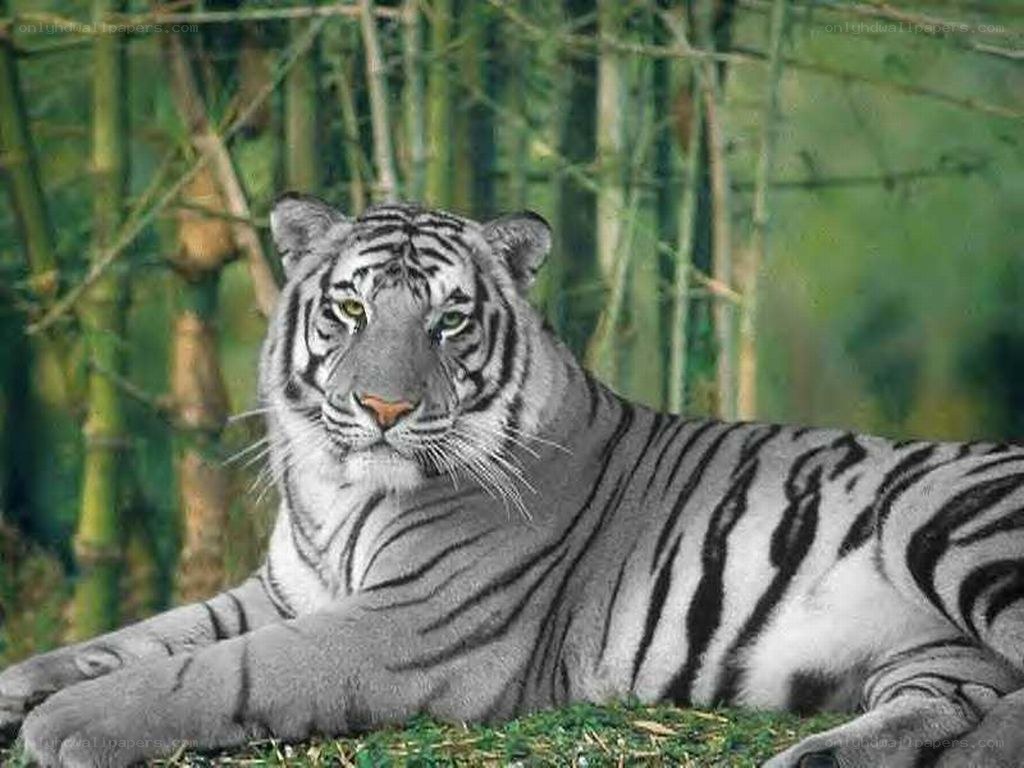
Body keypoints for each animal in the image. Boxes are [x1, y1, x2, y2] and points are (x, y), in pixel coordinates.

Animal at [2, 195, 1022, 768]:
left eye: (449, 320)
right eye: (350, 308)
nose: (383, 407)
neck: (336, 491)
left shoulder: (412, 625)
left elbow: (216, 669)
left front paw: (64, 724)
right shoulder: (283, 590)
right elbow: (145, 635)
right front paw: (24, 685)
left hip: (951, 526)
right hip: (929, 652)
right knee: (955, 697)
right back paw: (825, 762)